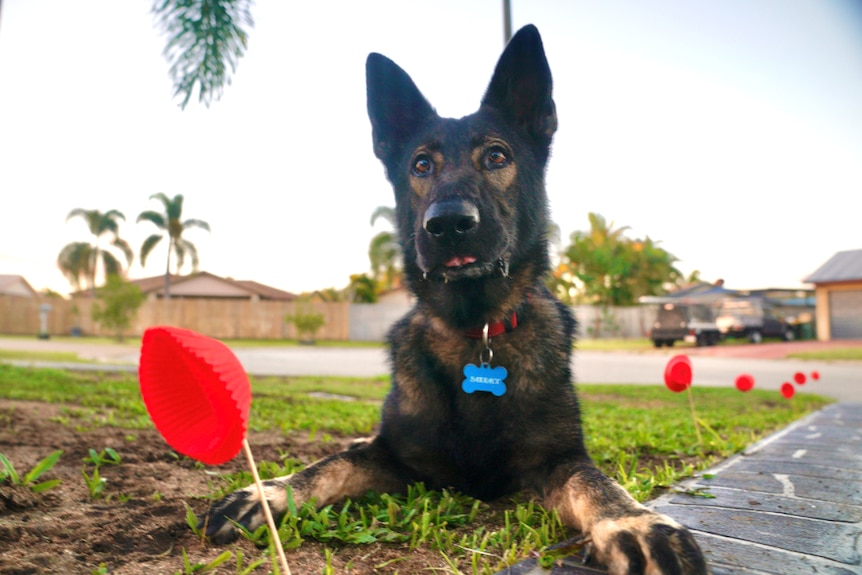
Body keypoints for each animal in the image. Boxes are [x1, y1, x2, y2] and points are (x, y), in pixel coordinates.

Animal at [204, 24, 708, 572]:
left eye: (497, 156)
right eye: (421, 164)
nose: (447, 224)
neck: (476, 329)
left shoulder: (561, 460)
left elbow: (596, 484)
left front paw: (633, 521)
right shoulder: (394, 457)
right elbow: (330, 464)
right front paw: (269, 492)